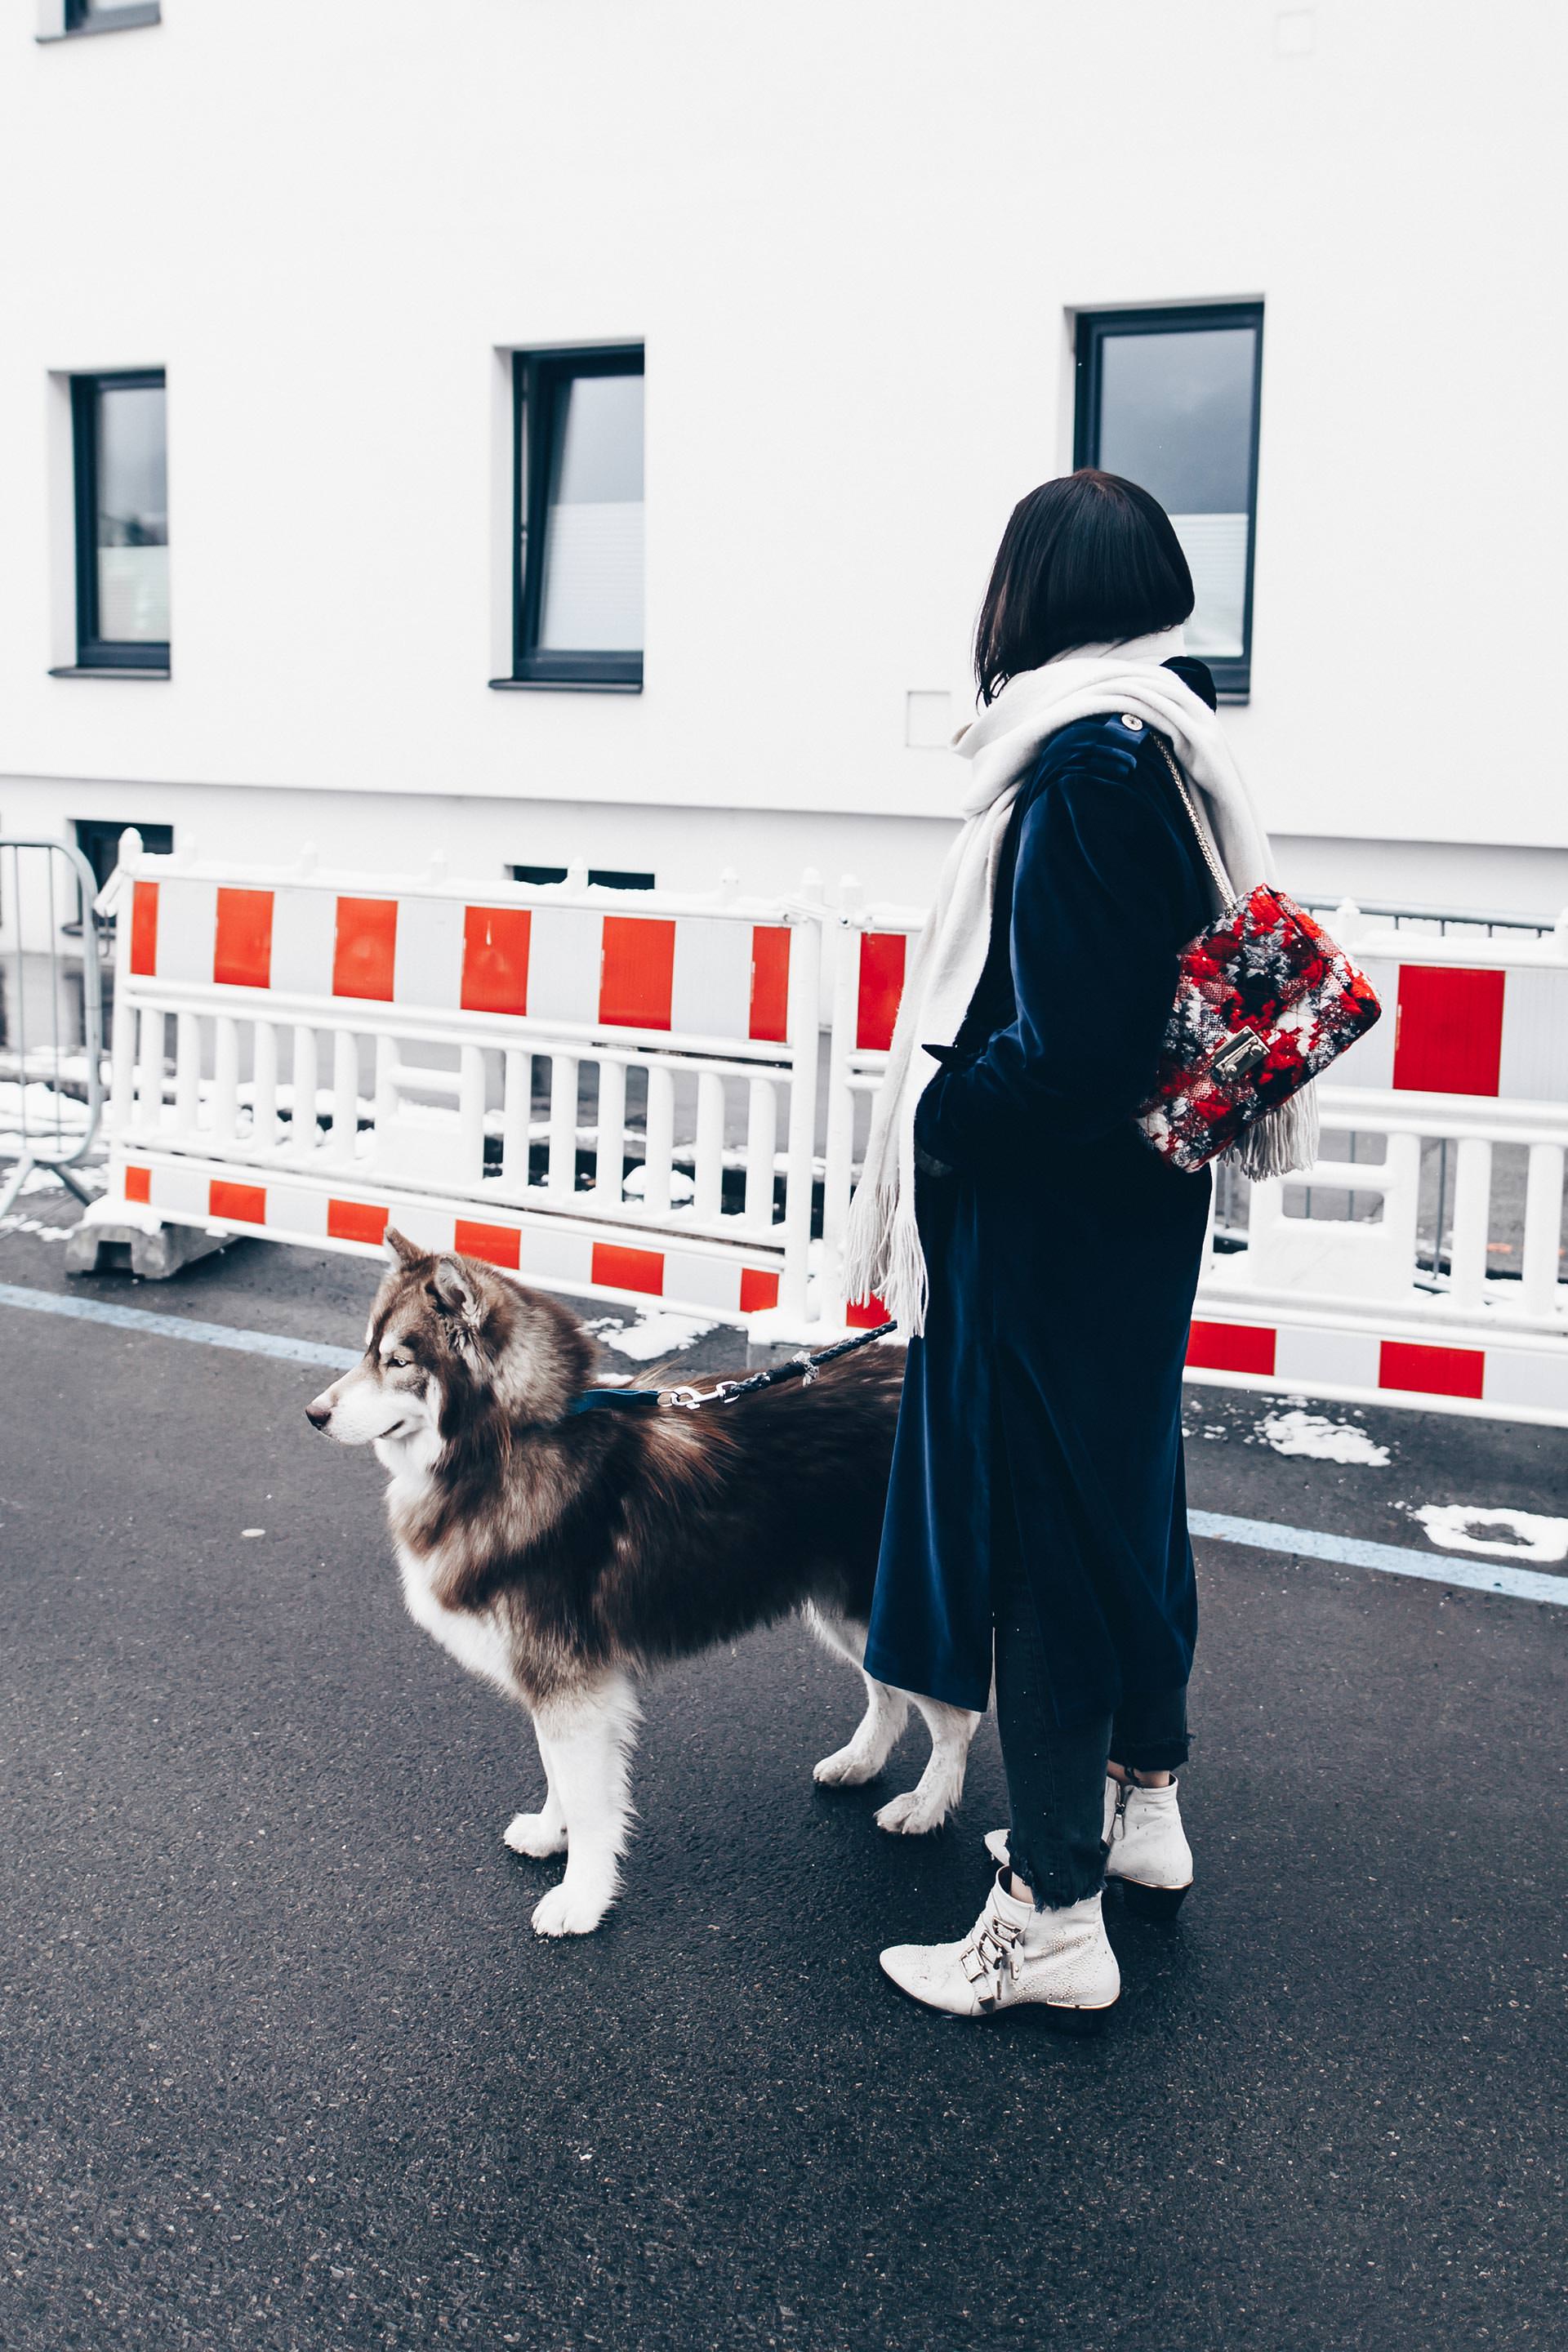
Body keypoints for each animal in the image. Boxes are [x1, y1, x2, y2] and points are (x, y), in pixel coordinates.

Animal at [305, 1232, 982, 1928]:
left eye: (397, 1361)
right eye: (370, 1350)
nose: (314, 1414)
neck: (510, 1444)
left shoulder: (570, 1683)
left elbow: (588, 1801)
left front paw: (581, 1897)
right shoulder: (555, 1682)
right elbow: (560, 1777)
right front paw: (551, 1835)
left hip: (886, 1601)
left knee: (957, 1719)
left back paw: (927, 1806)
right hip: (849, 1608)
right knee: (890, 1693)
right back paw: (861, 1761)